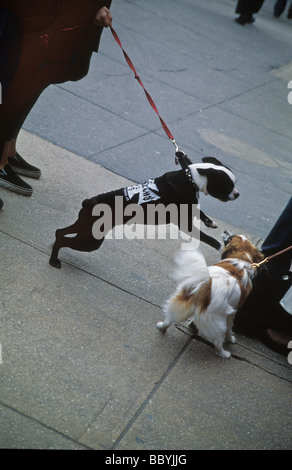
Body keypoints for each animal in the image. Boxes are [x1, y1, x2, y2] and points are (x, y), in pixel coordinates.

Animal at [49, 155, 238, 268]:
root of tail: (89, 202)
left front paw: (210, 222)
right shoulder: (185, 225)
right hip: (90, 239)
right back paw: (53, 261)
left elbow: (200, 212)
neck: (190, 178)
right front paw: (222, 246)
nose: (237, 194)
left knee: (60, 232)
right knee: (63, 240)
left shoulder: (191, 206)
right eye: (228, 185)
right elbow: (207, 238)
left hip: (83, 228)